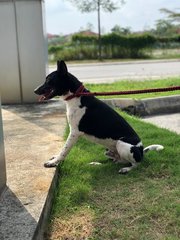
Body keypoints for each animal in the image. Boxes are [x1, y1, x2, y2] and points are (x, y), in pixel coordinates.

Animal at [33, 59, 163, 172]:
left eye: (49, 81)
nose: (34, 90)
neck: (77, 96)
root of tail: (141, 150)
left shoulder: (74, 132)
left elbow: (64, 150)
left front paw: (54, 162)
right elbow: (62, 150)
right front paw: (55, 158)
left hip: (122, 144)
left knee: (136, 164)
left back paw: (127, 169)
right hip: (108, 151)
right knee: (117, 161)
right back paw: (97, 164)